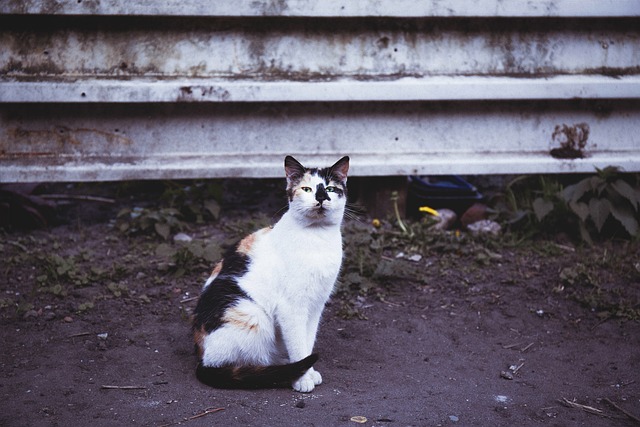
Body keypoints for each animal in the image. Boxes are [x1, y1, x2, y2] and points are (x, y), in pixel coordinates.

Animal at [192, 155, 350, 392]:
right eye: (306, 189)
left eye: (330, 188)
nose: (321, 197)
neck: (318, 238)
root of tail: (202, 358)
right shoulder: (291, 308)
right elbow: (298, 345)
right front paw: (302, 379)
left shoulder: (315, 306)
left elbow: (307, 341)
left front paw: (307, 372)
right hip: (253, 316)